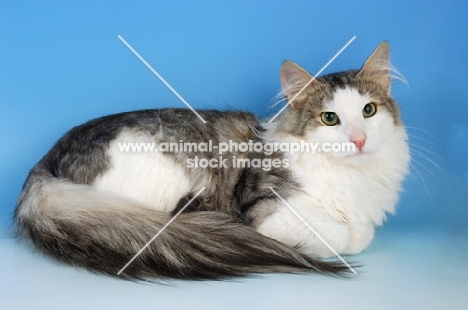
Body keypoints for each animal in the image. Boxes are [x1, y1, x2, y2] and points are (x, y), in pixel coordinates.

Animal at [14, 40, 410, 278]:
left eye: (369, 111)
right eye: (330, 118)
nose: (359, 139)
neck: (354, 177)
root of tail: (46, 163)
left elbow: (362, 231)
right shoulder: (269, 212)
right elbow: (348, 234)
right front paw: (345, 235)